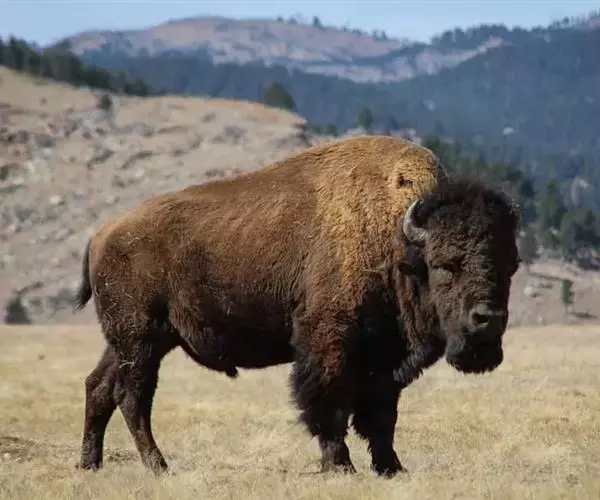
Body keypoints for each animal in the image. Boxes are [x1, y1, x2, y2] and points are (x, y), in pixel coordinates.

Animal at [74, 135, 521, 477]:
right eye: (444, 265)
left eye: (510, 265)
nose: (487, 320)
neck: (396, 241)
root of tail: (101, 234)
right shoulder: (329, 343)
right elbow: (330, 405)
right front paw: (340, 466)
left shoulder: (384, 357)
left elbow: (382, 416)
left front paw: (391, 468)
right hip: (140, 340)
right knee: (132, 396)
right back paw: (158, 466)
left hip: (130, 341)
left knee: (99, 388)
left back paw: (90, 465)